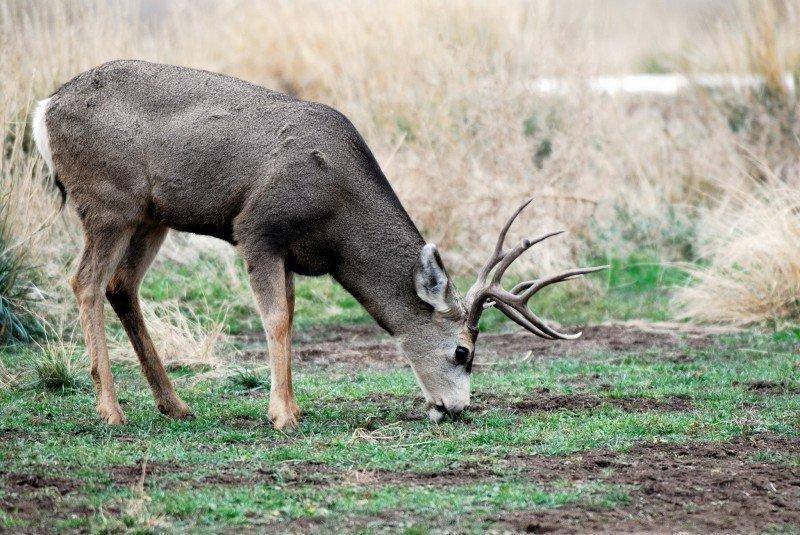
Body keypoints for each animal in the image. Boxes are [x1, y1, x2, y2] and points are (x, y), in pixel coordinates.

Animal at [32, 60, 608, 432]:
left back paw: (174, 405)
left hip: (151, 215)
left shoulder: (290, 252)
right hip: (107, 202)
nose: (455, 409)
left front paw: (291, 407)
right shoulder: (258, 228)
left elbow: (289, 315)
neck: (337, 217)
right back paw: (111, 410)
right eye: (463, 351)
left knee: (119, 285)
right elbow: (276, 320)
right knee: (84, 282)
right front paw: (283, 417)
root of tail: (45, 107)